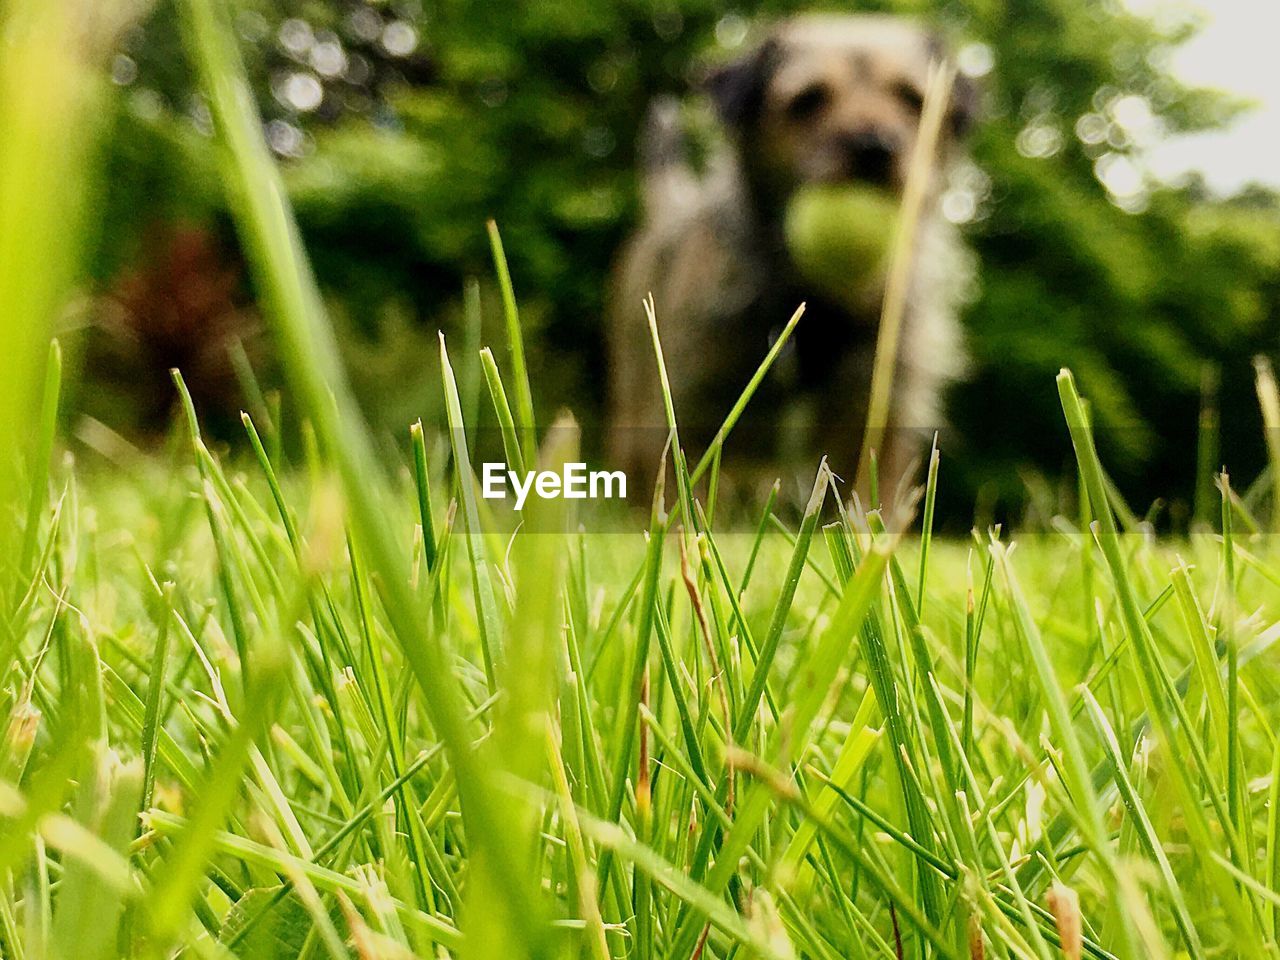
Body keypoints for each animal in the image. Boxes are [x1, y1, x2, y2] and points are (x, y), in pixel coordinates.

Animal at [604, 15, 972, 499]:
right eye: (808, 100)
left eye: (912, 99)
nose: (873, 146)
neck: (818, 302)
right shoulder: (693, 412)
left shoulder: (878, 422)